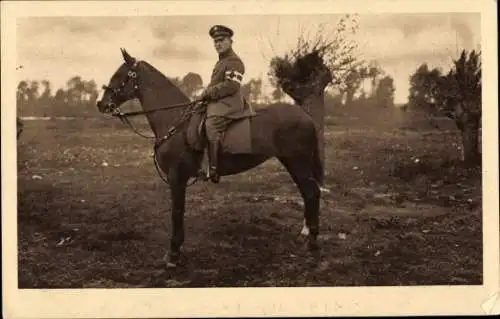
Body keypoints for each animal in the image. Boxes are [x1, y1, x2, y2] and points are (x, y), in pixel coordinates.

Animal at [96, 48, 324, 268]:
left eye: (119, 75)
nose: (101, 104)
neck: (175, 120)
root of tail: (306, 116)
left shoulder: (176, 178)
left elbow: (177, 212)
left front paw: (173, 254)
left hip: (298, 162)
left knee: (311, 192)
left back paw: (312, 242)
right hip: (292, 163)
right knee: (307, 193)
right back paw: (305, 235)